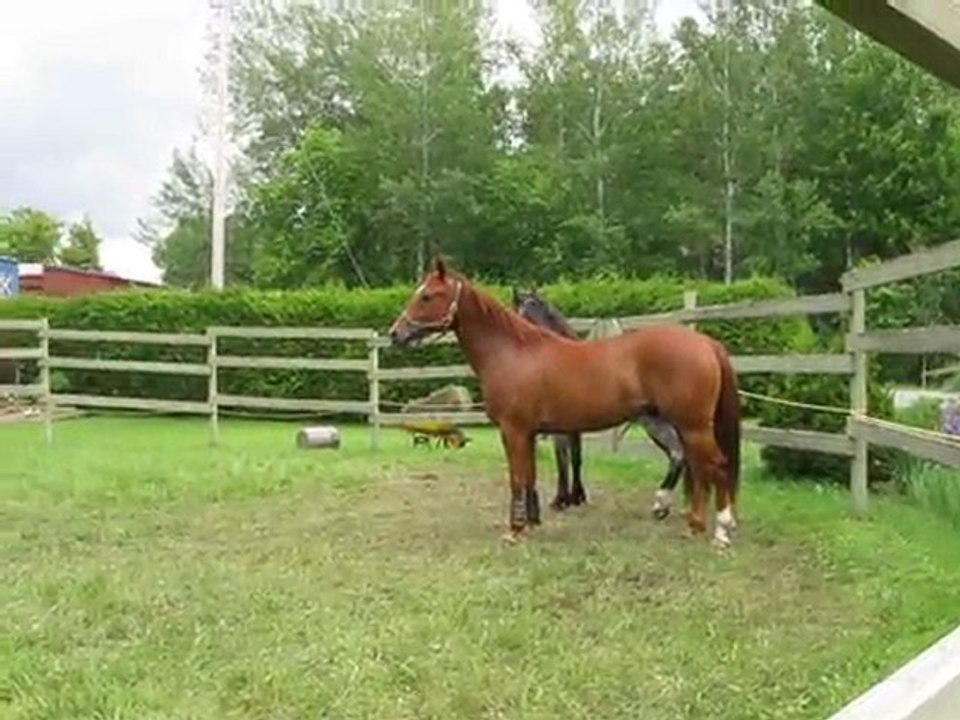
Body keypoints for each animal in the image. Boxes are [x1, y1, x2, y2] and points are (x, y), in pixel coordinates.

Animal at [511, 287, 690, 520]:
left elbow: (564, 460)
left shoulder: (561, 429)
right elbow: (575, 458)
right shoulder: (572, 427)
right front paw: (576, 497)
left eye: (533, 309)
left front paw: (562, 500)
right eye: (518, 309)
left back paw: (662, 505)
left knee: (678, 454)